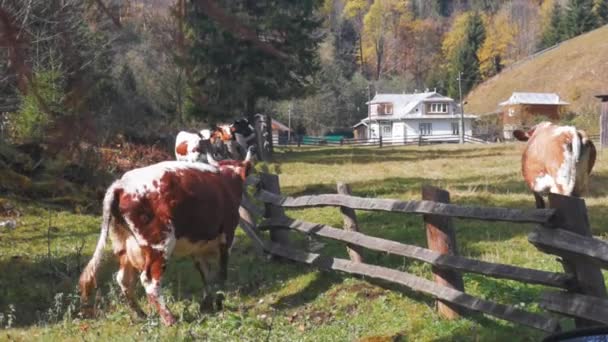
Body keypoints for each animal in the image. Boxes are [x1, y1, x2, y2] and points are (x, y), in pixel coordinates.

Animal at [79, 148, 254, 324]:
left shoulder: (197, 248)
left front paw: (206, 306)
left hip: (123, 244)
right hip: (160, 244)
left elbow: (206, 276)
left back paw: (141, 314)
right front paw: (218, 303)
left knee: (124, 279)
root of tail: (121, 185)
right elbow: (221, 274)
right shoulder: (227, 237)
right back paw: (169, 318)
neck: (227, 181)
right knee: (149, 280)